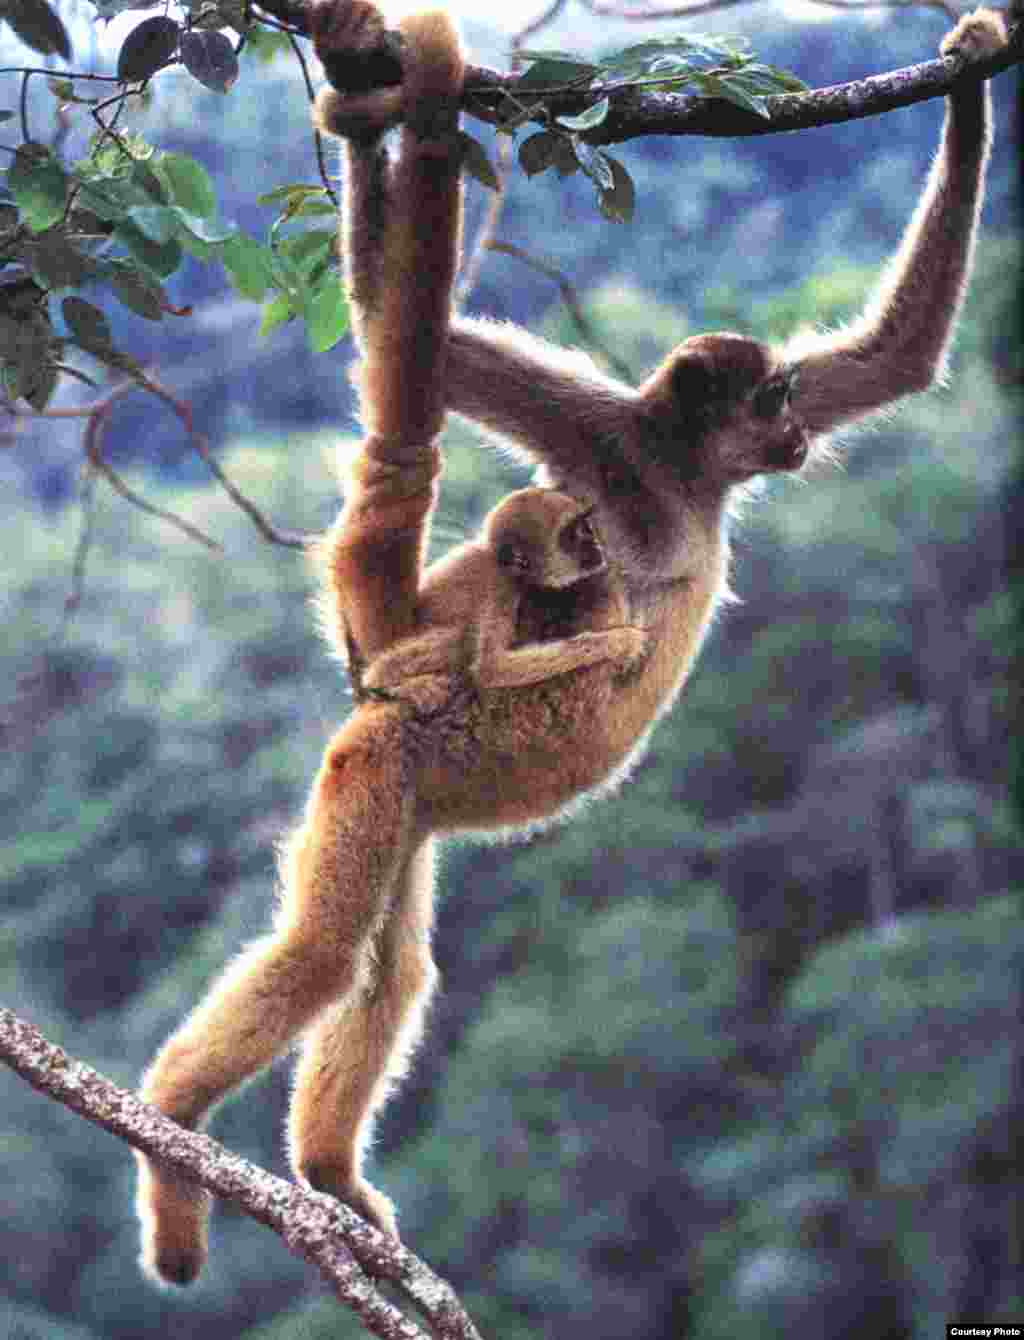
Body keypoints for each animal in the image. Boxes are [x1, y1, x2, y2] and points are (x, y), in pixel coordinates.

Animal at [134, 0, 1006, 1285]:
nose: (795, 429)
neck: (679, 473)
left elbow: (898, 358)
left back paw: (327, 1173)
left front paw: (971, 62)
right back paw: (170, 1120)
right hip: (404, 751)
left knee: (389, 968)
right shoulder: (599, 433)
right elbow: (418, 341)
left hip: (408, 793)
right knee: (325, 952)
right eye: (772, 400)